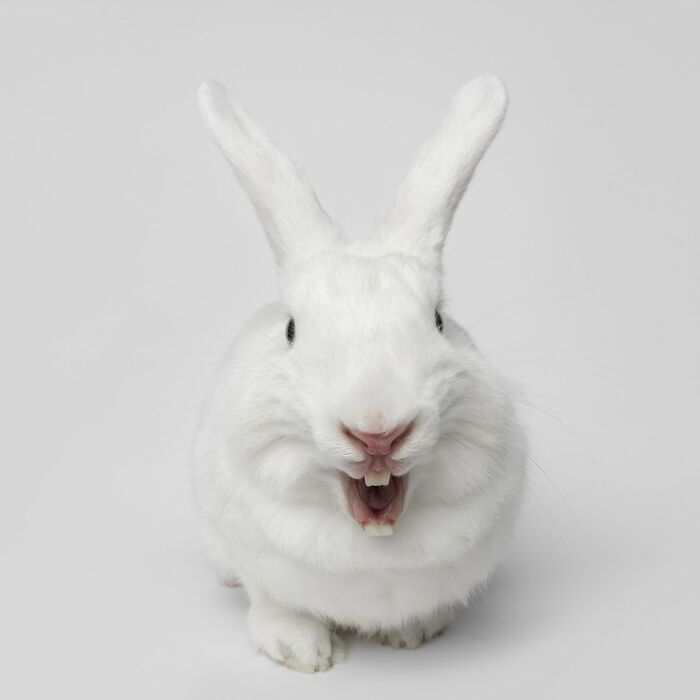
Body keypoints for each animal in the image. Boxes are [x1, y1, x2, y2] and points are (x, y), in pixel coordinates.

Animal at [193, 74, 527, 672]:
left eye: (439, 321)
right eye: (292, 330)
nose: (378, 432)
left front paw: (413, 635)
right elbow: (278, 604)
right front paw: (303, 654)